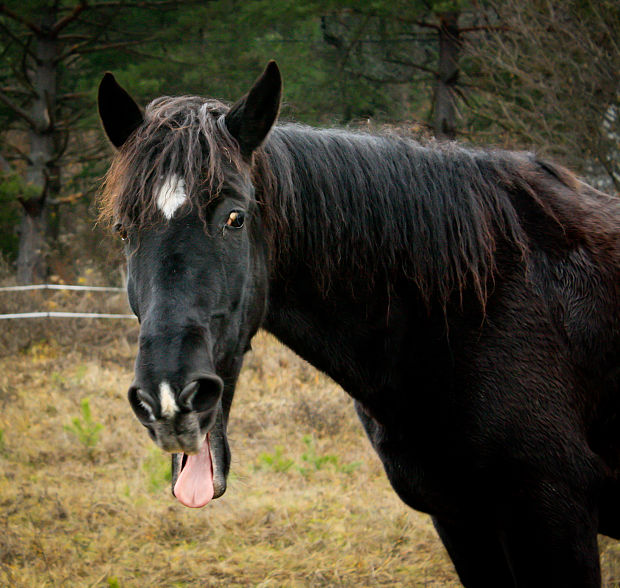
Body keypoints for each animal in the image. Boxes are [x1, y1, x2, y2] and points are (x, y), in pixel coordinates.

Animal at [97, 62, 620, 584]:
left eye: (235, 218)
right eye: (123, 230)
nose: (168, 399)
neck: (470, 304)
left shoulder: (552, 514)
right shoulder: (461, 521)